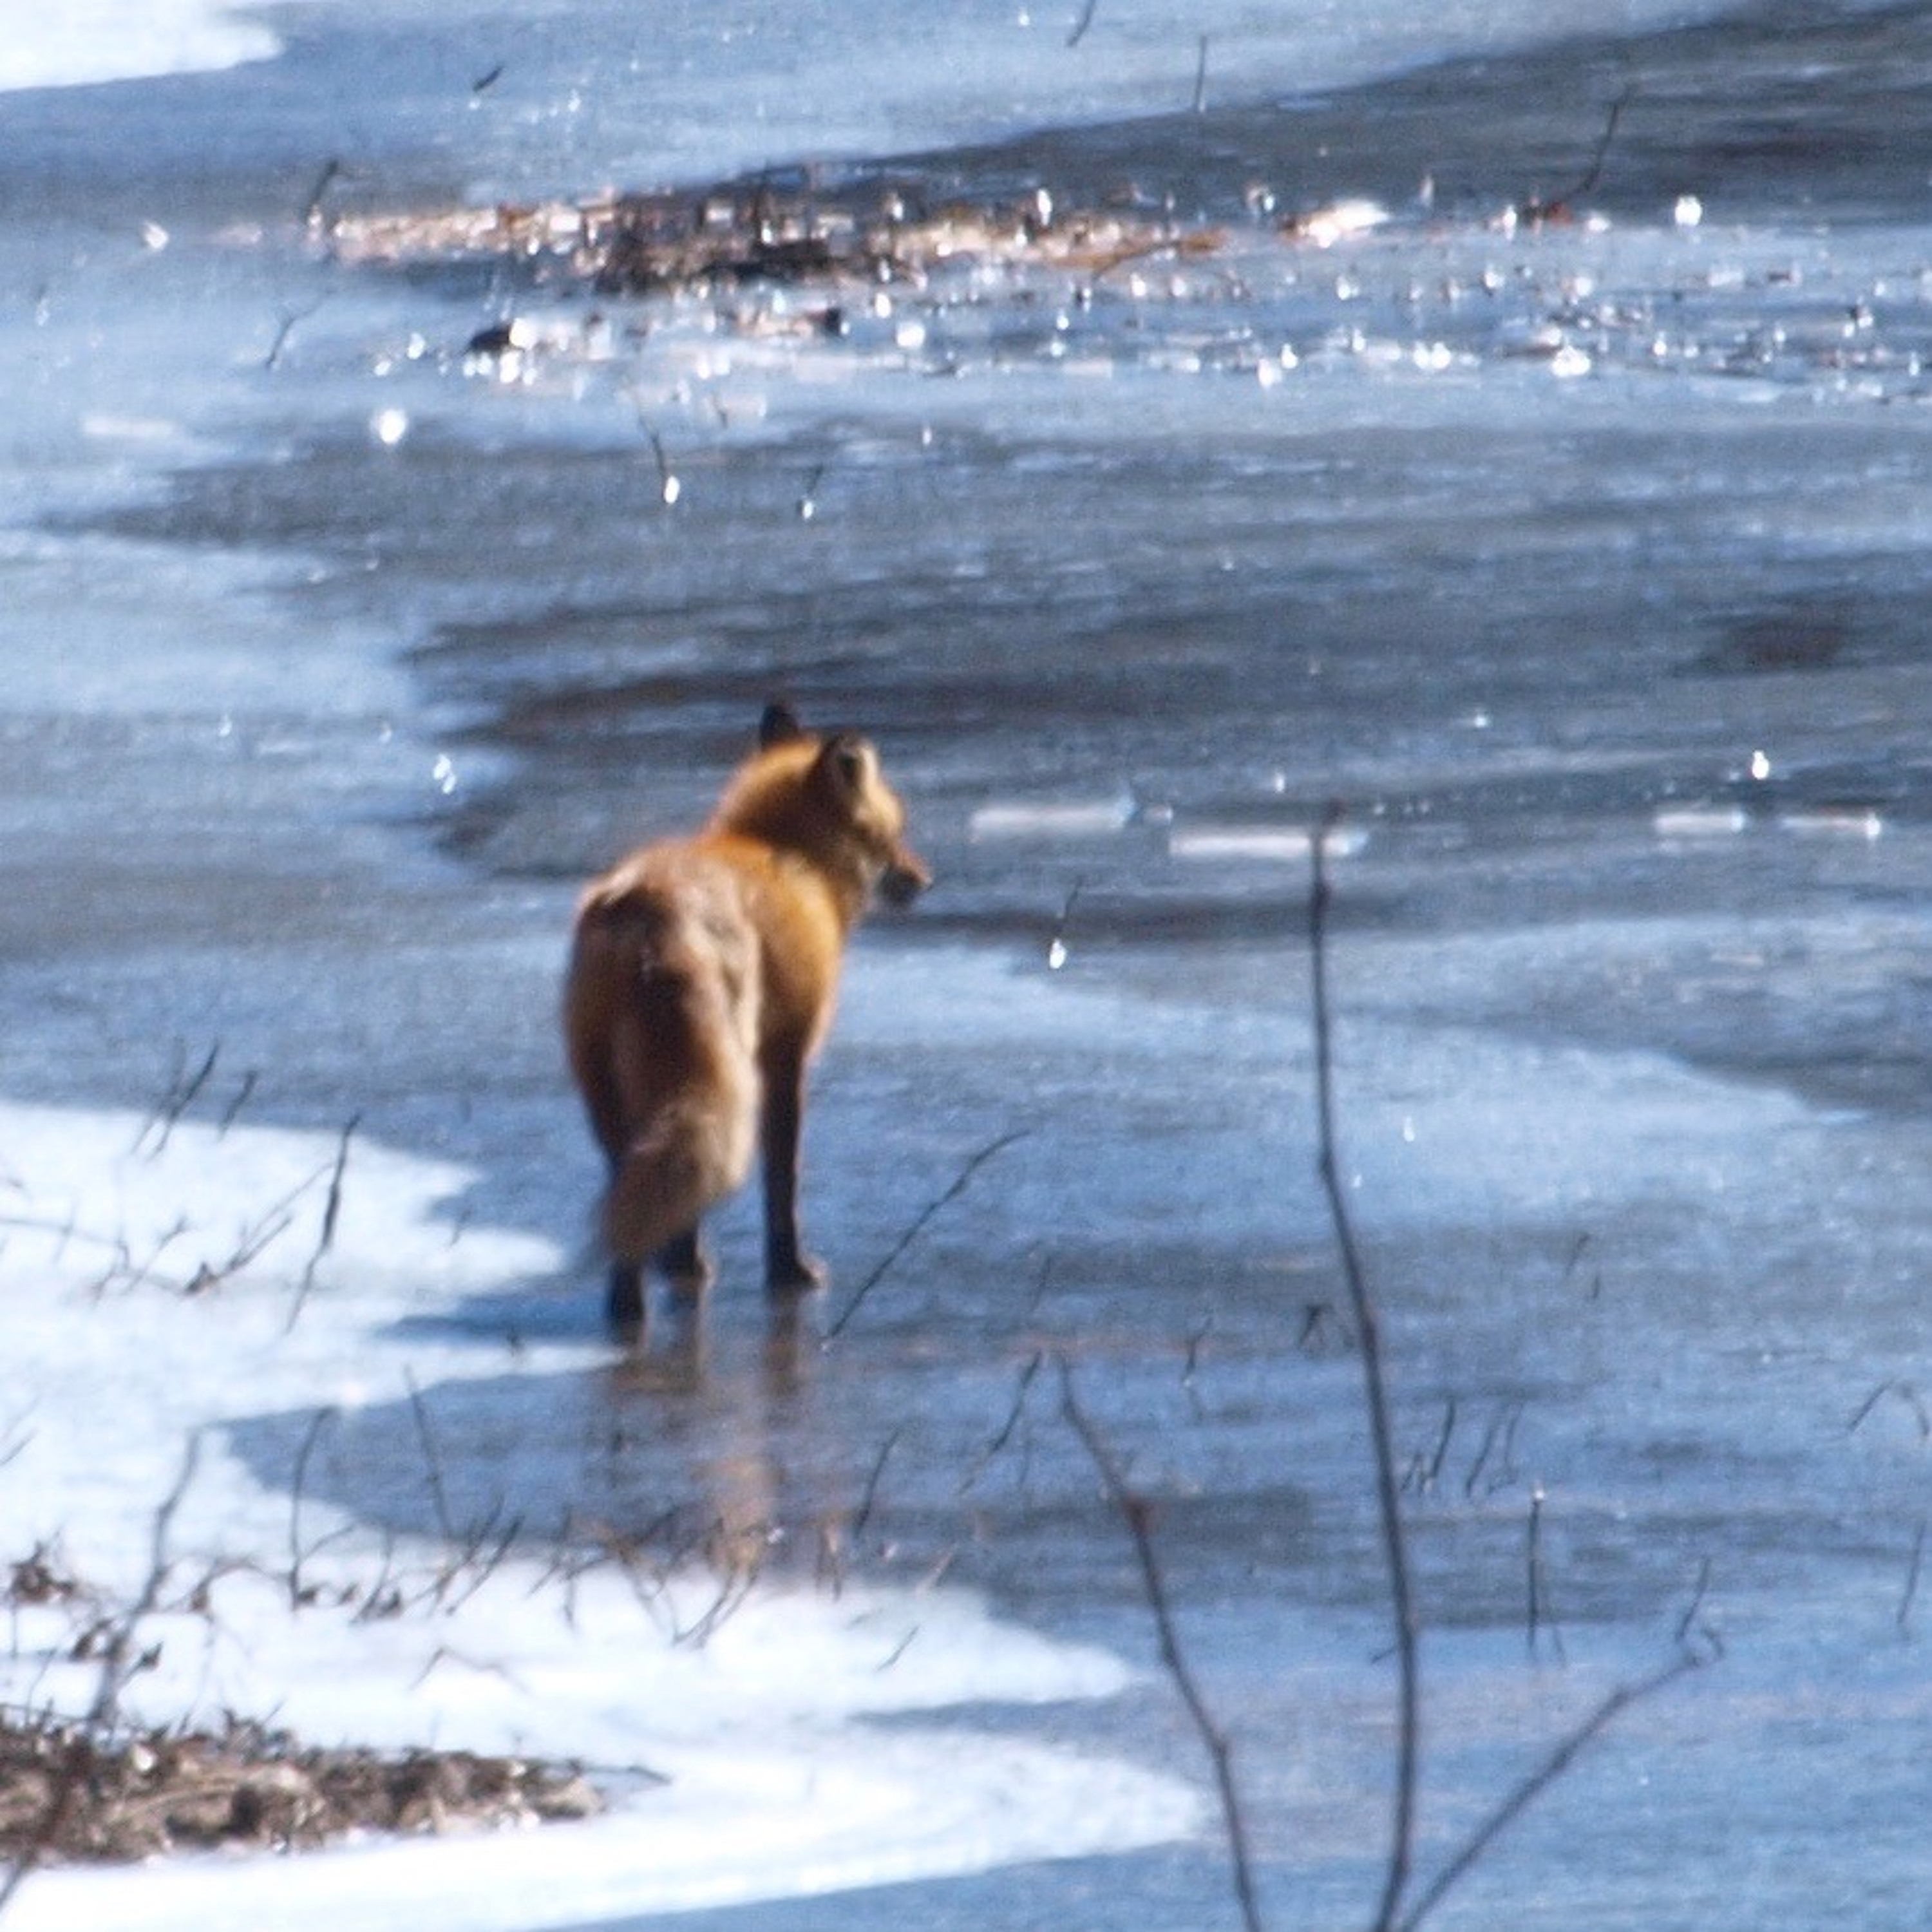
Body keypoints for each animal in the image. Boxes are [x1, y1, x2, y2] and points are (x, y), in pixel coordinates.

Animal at [563, 703, 930, 1330]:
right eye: (891, 833)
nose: (925, 878)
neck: (788, 858)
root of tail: (644, 905)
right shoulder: (785, 1052)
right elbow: (783, 1179)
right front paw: (790, 1270)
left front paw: (682, 1265)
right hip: (720, 1067)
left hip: (607, 1089)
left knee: (630, 1187)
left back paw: (633, 1302)